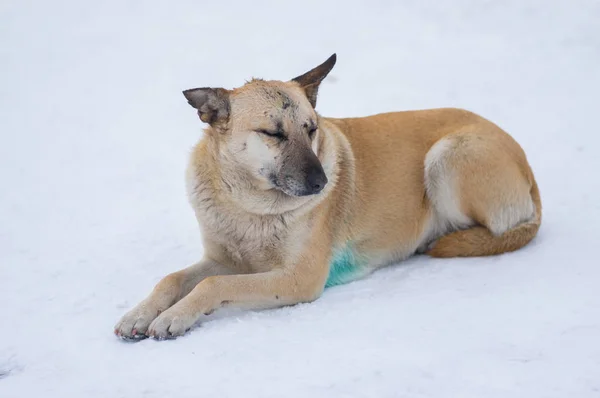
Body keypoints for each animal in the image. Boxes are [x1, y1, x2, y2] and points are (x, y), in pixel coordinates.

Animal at [115, 52, 540, 338]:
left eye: (311, 128)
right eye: (273, 133)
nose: (322, 182)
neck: (247, 206)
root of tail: (527, 167)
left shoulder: (298, 278)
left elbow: (214, 285)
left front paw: (173, 317)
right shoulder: (222, 258)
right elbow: (172, 278)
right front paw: (140, 313)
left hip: (446, 157)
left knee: (494, 231)